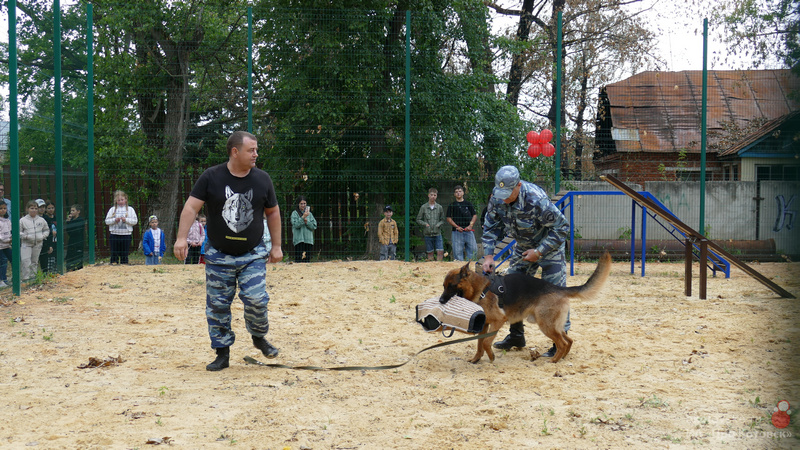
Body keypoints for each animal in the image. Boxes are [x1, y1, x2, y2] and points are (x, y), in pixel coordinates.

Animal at [438, 251, 612, 364]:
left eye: (451, 286)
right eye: (443, 286)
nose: (440, 300)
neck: (480, 290)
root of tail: (558, 288)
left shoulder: (498, 321)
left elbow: (486, 342)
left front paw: (491, 357)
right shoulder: (485, 325)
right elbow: (479, 343)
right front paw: (476, 359)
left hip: (545, 325)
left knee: (562, 343)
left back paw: (554, 360)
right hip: (554, 325)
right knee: (568, 340)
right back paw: (562, 358)